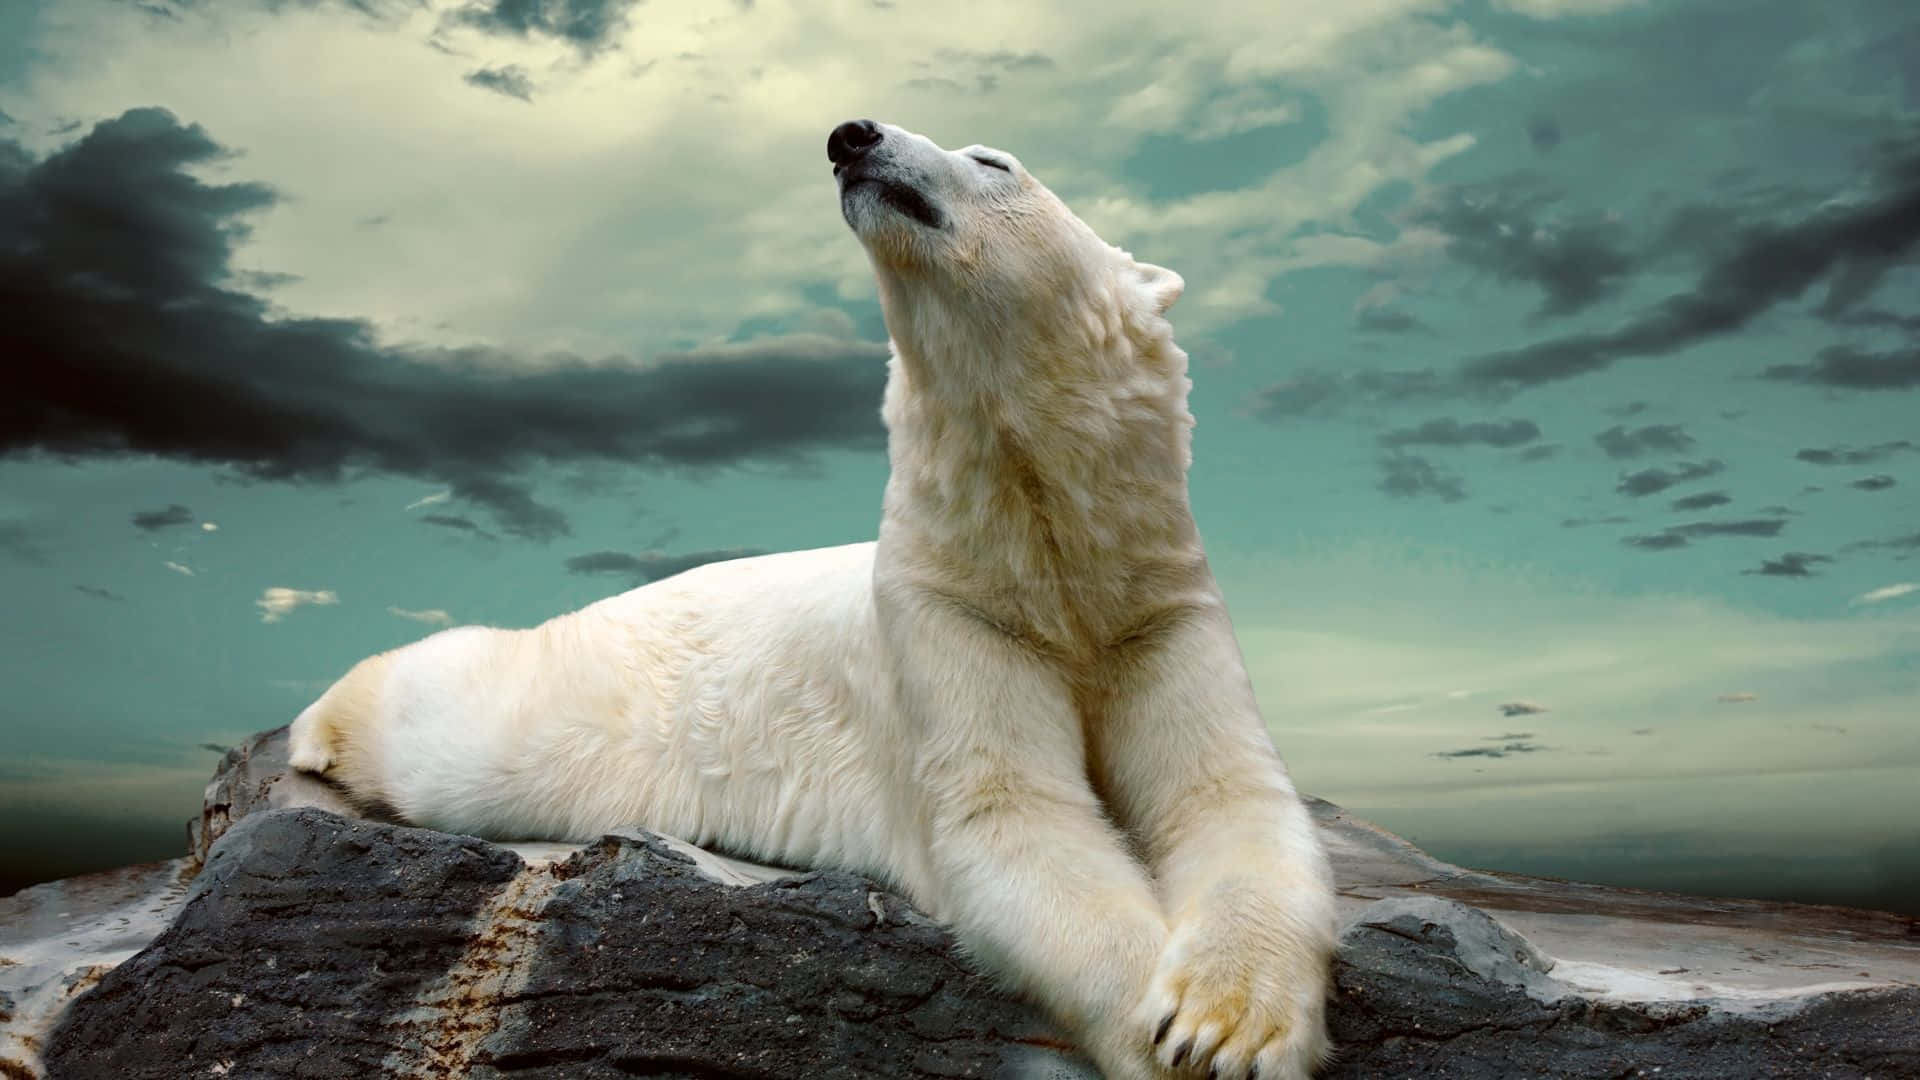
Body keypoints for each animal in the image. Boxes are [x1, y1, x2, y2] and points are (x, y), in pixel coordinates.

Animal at [289, 118, 1337, 1080]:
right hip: (583, 702)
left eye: (994, 160)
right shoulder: (947, 614)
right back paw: (317, 730)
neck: (1045, 551)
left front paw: (1226, 1023)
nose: (852, 136)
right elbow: (1014, 817)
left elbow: (1229, 796)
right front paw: (1180, 1041)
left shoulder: (1155, 606)